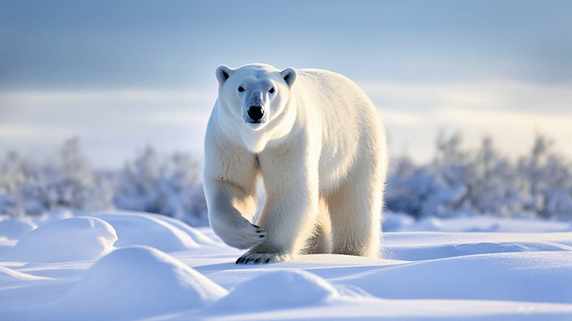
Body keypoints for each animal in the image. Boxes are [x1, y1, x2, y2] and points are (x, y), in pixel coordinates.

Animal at [203, 62, 386, 262]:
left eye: (271, 89)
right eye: (241, 87)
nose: (256, 110)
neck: (258, 138)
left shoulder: (288, 139)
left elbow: (290, 188)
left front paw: (261, 254)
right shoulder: (229, 138)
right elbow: (231, 183)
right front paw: (251, 234)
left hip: (359, 145)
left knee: (355, 201)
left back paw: (351, 253)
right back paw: (316, 249)